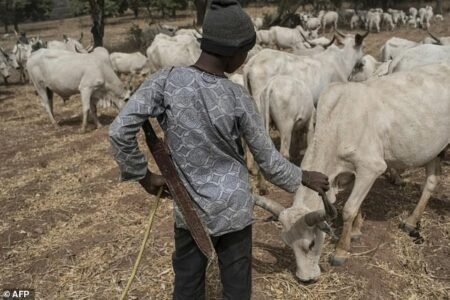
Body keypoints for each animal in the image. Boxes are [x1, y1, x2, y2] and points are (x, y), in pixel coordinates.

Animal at [255, 62, 450, 282]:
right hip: (434, 149)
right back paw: (411, 221)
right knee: (432, 181)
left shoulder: (371, 167)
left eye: (311, 244)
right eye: (288, 243)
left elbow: (349, 208)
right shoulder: (351, 173)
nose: (305, 279)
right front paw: (356, 230)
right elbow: (357, 205)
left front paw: (341, 250)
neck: (339, 122)